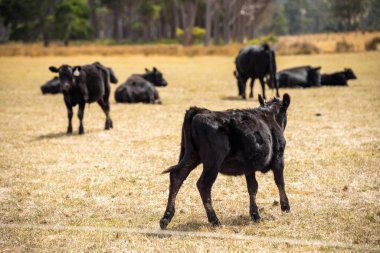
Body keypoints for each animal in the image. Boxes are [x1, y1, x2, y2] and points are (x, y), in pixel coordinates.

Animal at [160, 93, 290, 229]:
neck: (270, 115)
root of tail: (200, 111)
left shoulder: (249, 167)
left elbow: (252, 187)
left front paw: (255, 215)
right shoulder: (279, 157)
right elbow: (280, 181)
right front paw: (285, 207)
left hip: (191, 155)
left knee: (177, 177)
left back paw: (166, 219)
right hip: (212, 162)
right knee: (203, 185)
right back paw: (215, 220)